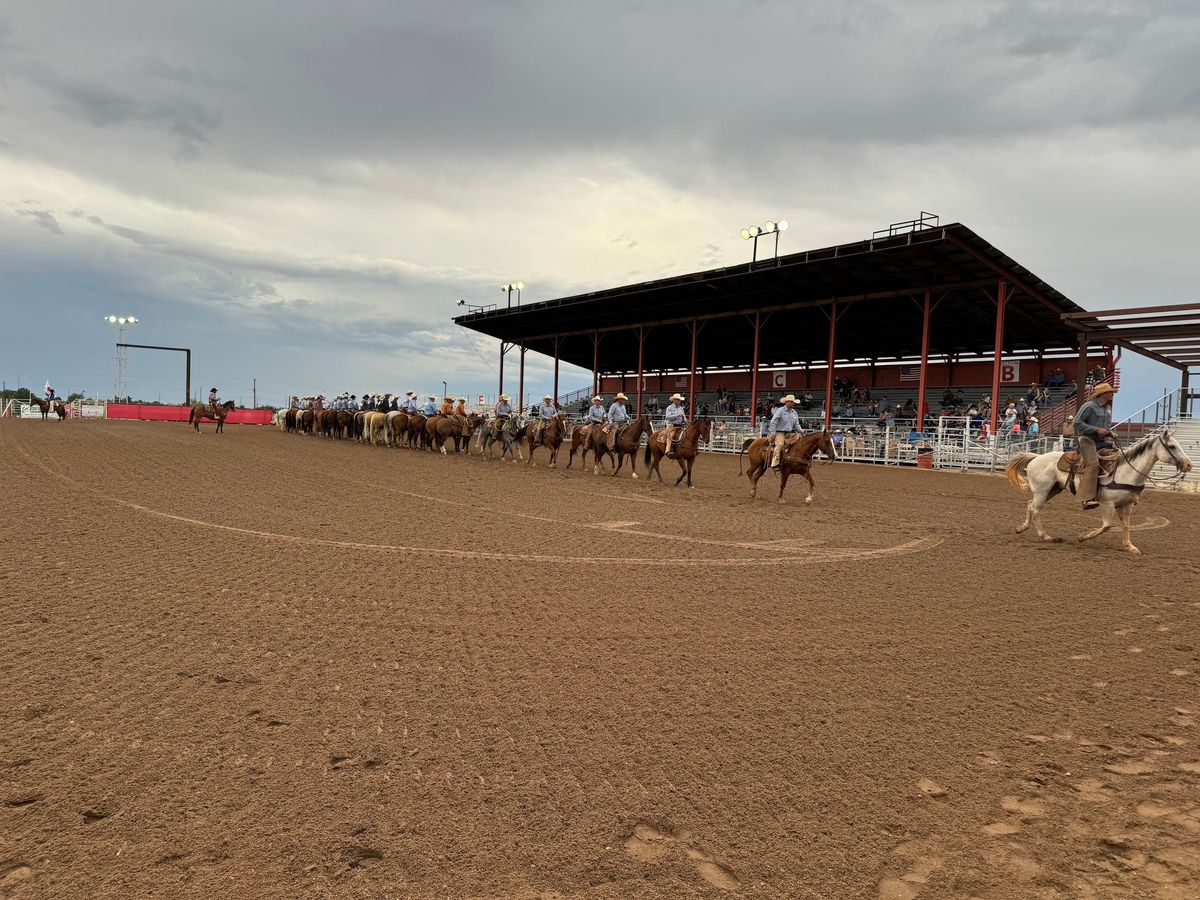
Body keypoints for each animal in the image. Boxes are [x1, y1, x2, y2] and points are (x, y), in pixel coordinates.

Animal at [1003, 427, 1190, 554]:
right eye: (1172, 446)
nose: (1189, 465)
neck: (1126, 472)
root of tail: (1036, 457)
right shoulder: (1108, 504)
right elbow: (1107, 526)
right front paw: (1083, 536)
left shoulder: (1127, 505)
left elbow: (1126, 525)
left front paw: (1129, 546)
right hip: (1042, 491)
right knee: (1035, 509)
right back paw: (1047, 536)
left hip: (1051, 490)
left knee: (1030, 505)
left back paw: (1021, 528)